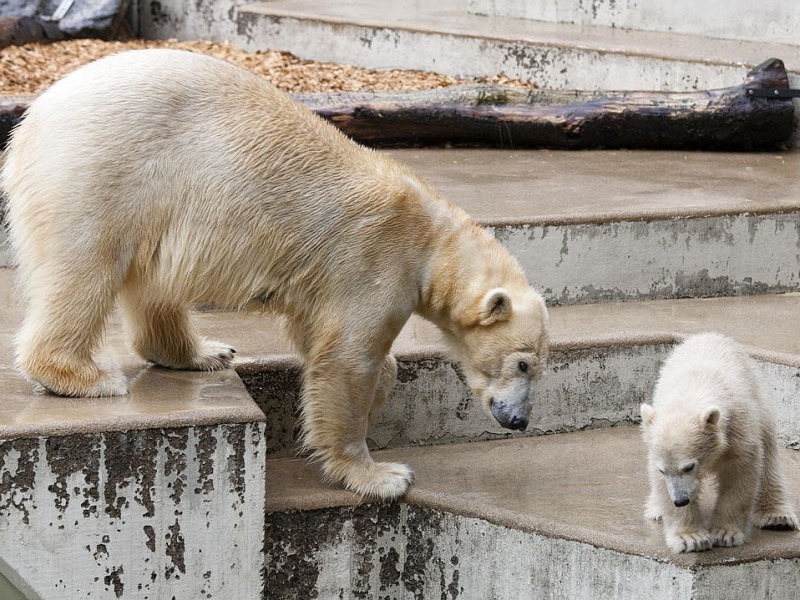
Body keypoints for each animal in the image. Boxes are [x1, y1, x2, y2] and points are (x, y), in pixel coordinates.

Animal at [1, 49, 552, 500]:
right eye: (523, 364)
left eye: (539, 367)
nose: (520, 420)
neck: (432, 240)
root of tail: (32, 117)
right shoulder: (376, 260)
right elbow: (347, 359)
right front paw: (381, 475)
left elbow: (327, 340)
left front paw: (378, 397)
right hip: (101, 170)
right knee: (83, 268)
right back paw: (84, 376)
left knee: (154, 282)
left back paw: (203, 352)